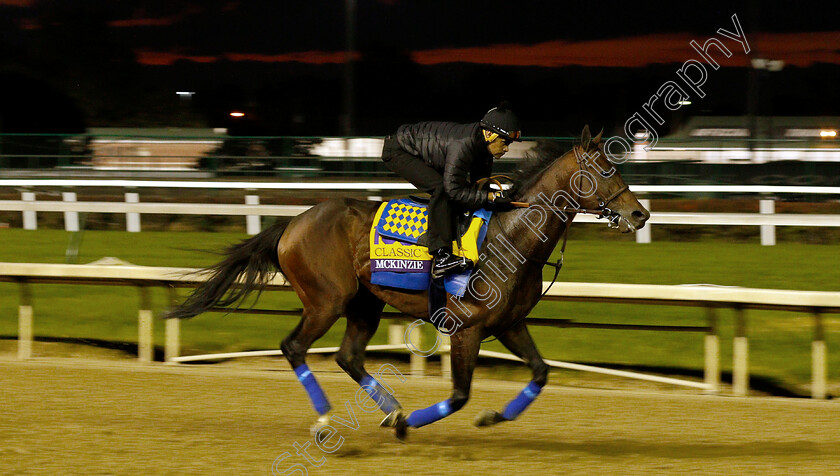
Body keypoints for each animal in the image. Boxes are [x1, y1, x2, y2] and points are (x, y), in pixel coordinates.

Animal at [164, 125, 648, 438]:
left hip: (365, 304)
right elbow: (459, 395)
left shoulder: (509, 324)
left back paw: (392, 411)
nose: (640, 213)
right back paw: (328, 420)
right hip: (326, 300)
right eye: (606, 171)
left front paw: (492, 417)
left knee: (348, 356)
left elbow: (542, 373)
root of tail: (291, 224)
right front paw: (415, 425)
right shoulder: (467, 327)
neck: (511, 236)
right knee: (294, 347)